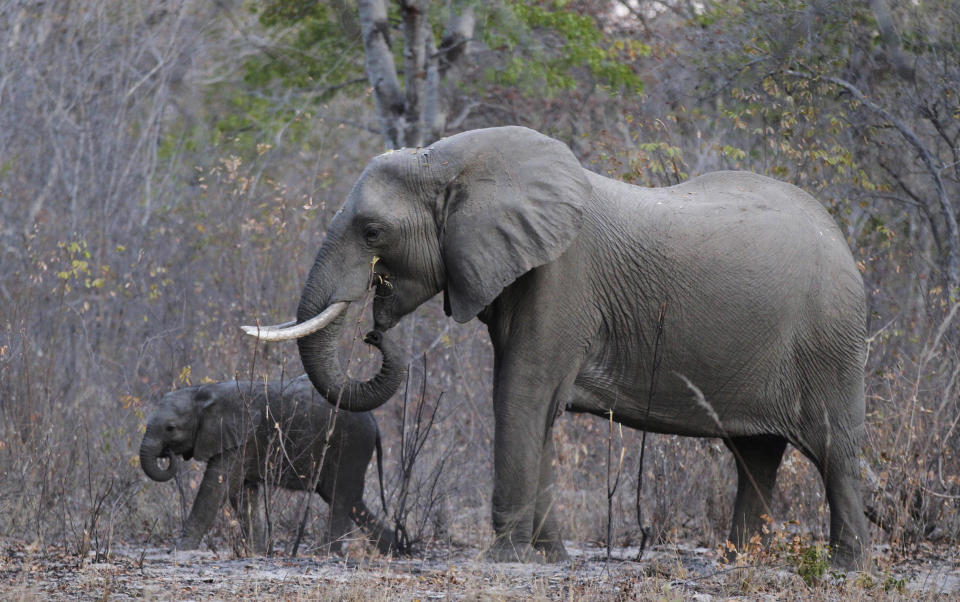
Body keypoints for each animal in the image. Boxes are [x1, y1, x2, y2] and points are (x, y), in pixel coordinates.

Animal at [140, 376, 398, 552]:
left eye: (170, 428)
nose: (168, 454)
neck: (202, 393)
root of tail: (374, 420)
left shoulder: (241, 436)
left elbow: (215, 487)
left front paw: (180, 550)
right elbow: (242, 492)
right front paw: (257, 552)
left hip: (351, 445)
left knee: (341, 498)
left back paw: (326, 553)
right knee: (352, 502)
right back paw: (395, 548)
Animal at [246, 125, 872, 568]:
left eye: (373, 232)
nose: (375, 330)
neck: (450, 161)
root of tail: (842, 237)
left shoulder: (563, 277)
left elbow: (521, 394)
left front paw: (502, 559)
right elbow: (533, 404)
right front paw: (550, 557)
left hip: (830, 338)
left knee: (834, 449)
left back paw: (845, 566)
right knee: (756, 455)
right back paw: (739, 560)